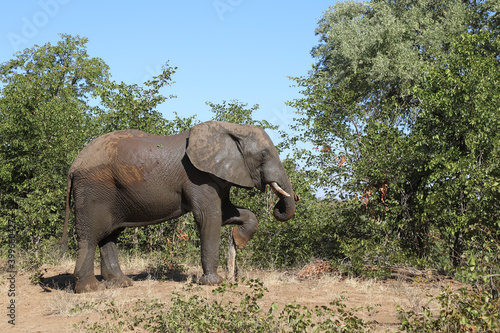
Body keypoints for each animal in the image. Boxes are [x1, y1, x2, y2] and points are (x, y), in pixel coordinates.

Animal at [57, 120, 296, 292]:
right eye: (263, 155)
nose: (278, 205)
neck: (231, 128)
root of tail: (73, 166)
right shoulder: (198, 177)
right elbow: (209, 217)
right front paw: (214, 283)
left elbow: (227, 212)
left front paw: (238, 239)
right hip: (93, 189)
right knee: (90, 236)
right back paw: (91, 289)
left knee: (110, 236)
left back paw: (121, 283)